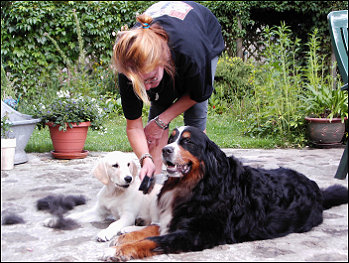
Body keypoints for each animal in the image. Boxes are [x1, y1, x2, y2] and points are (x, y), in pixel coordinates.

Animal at [102, 126, 346, 262]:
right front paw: (123, 236)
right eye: (171, 139)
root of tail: (314, 187)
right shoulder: (174, 219)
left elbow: (153, 239)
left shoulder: (197, 233)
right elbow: (151, 229)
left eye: (187, 141)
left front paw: (119, 250)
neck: (198, 185)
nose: (165, 150)